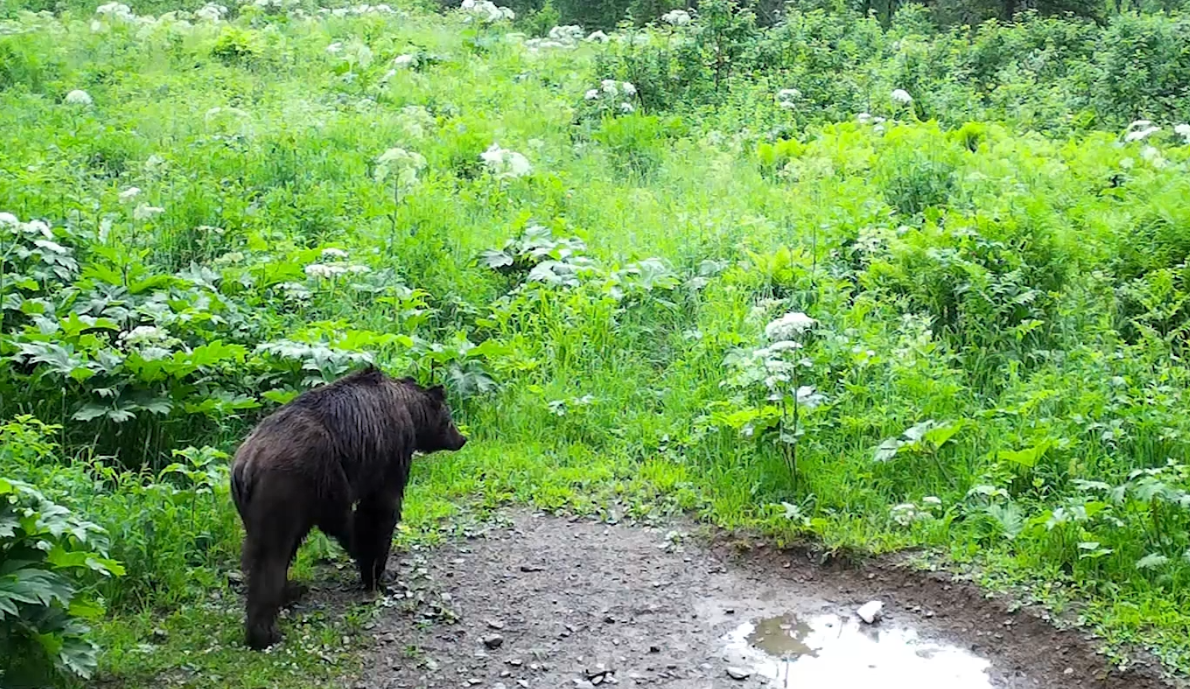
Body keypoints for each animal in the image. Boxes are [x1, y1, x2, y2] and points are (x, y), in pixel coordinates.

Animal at [224, 366, 466, 652]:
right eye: (449, 418)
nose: (462, 438)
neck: (409, 412)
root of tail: (247, 465)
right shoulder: (388, 454)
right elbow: (380, 511)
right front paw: (379, 572)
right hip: (287, 488)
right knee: (271, 556)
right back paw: (264, 633)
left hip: (260, 505)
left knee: (262, 551)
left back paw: (291, 590)